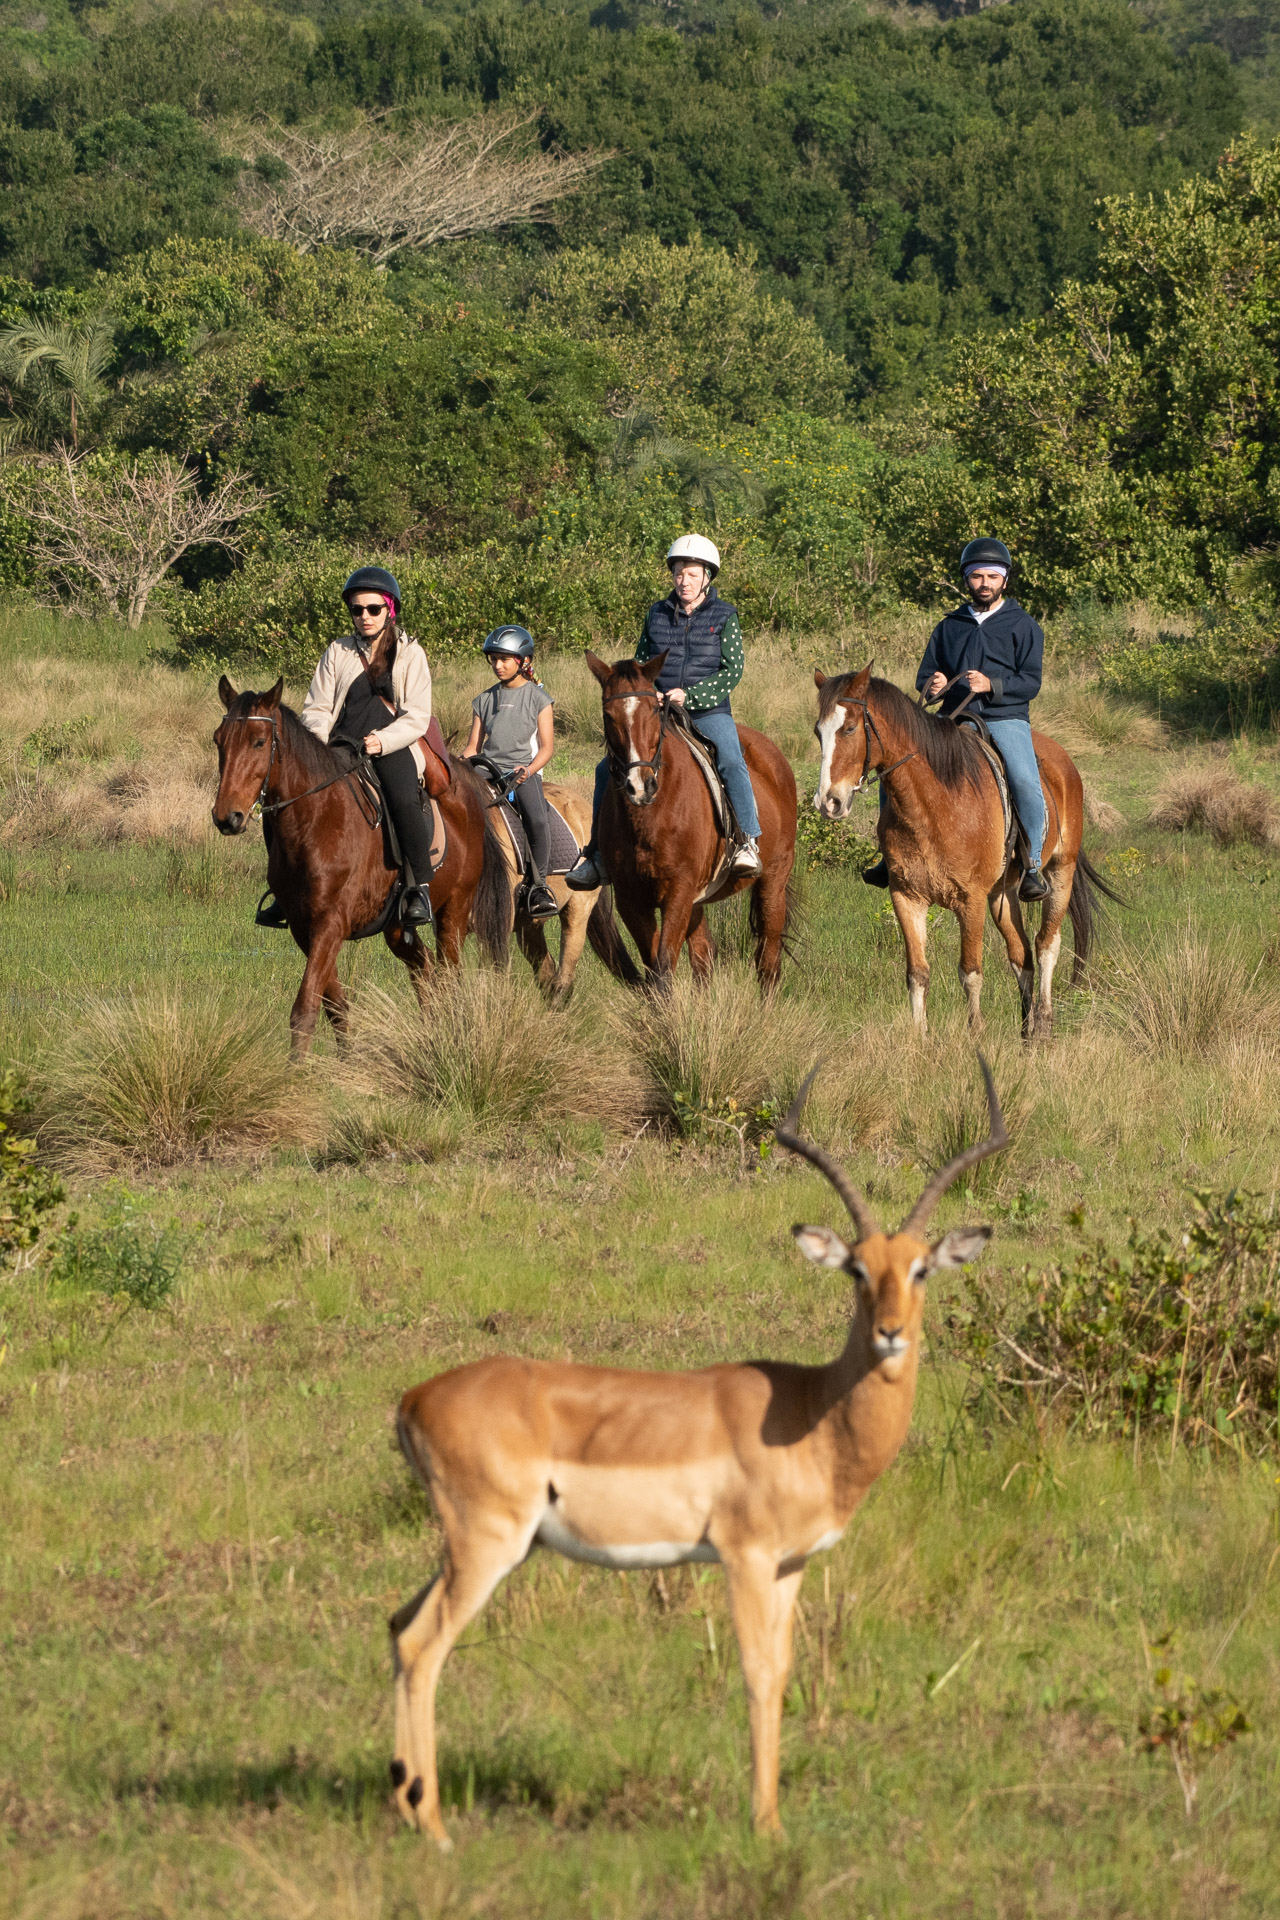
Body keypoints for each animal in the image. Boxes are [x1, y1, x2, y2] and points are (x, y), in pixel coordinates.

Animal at [212, 677, 510, 1055]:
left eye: (259, 741)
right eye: (218, 740)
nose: (227, 817)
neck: (316, 819)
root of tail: (469, 791)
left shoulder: (331, 924)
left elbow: (305, 1008)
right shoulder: (304, 927)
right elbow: (334, 1004)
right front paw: (345, 1062)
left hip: (454, 914)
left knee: (448, 980)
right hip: (396, 927)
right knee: (425, 972)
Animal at [585, 651, 798, 992]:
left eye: (653, 709)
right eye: (608, 715)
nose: (640, 786)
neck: (649, 818)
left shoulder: (679, 893)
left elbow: (662, 968)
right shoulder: (632, 900)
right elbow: (655, 972)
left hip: (773, 879)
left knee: (768, 960)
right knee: (703, 956)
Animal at [813, 664, 1118, 1036]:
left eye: (851, 727)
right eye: (818, 732)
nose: (828, 802)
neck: (933, 805)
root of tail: (1062, 760)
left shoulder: (970, 899)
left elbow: (970, 972)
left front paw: (976, 1034)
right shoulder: (906, 897)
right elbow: (917, 974)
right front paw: (920, 1038)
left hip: (1061, 872)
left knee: (1047, 945)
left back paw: (1044, 1025)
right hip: (1002, 894)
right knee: (1021, 956)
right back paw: (1027, 1033)